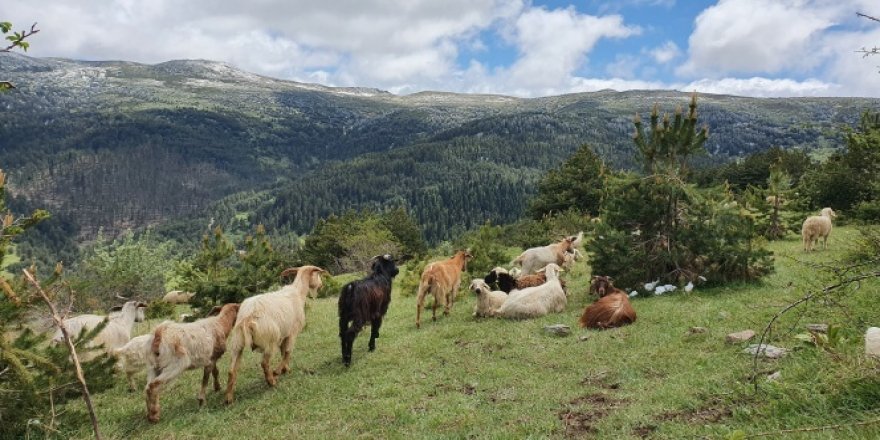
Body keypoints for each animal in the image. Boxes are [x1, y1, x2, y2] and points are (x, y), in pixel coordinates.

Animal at [225, 262, 324, 404]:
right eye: (318, 274)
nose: (321, 285)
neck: (298, 292)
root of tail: (248, 317)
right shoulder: (292, 333)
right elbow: (287, 352)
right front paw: (278, 371)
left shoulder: (285, 334)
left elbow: (284, 352)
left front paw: (286, 369)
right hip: (270, 339)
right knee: (264, 363)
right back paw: (271, 381)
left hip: (237, 342)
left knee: (232, 370)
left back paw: (229, 398)